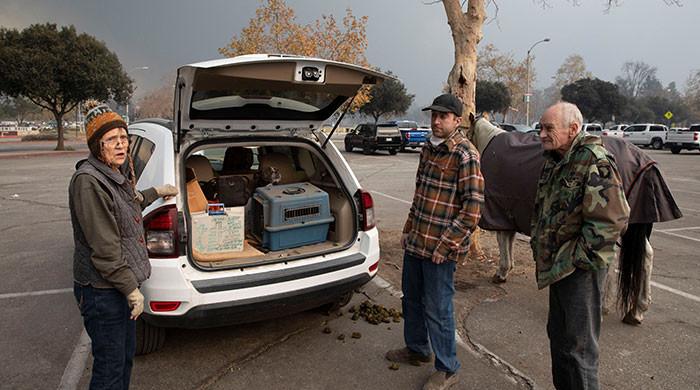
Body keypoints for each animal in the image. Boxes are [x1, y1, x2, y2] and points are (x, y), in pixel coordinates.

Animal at [468, 115, 680, 322]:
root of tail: (643, 161)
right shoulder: (509, 215)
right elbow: (508, 243)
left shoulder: (500, 213)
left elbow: (503, 245)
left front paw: (501, 274)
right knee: (646, 256)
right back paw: (636, 311)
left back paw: (607, 305)